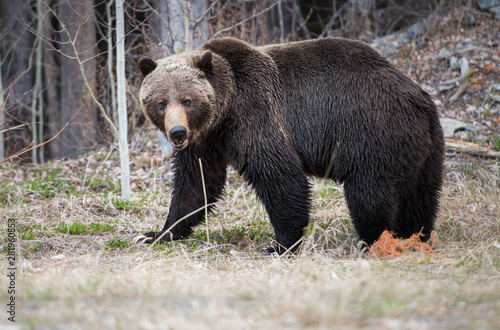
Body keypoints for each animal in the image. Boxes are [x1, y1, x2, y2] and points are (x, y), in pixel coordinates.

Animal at [134, 36, 446, 253]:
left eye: (187, 100)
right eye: (161, 102)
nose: (177, 132)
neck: (224, 111)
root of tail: (419, 98)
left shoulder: (254, 115)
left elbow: (280, 176)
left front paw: (280, 245)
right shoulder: (206, 140)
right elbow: (195, 185)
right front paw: (156, 234)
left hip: (373, 134)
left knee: (369, 196)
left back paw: (373, 243)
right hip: (424, 149)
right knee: (420, 198)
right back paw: (415, 238)